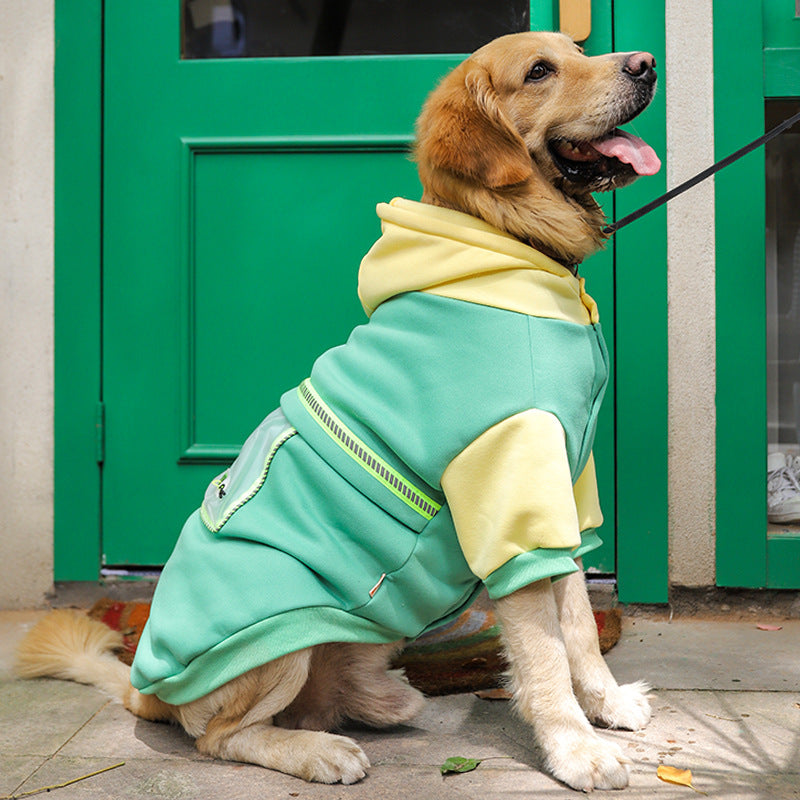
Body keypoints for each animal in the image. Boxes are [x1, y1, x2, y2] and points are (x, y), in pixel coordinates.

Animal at [15, 32, 660, 792]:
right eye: (539, 71)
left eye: (575, 50)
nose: (646, 65)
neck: (507, 243)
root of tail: (147, 690)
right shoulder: (508, 486)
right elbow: (545, 651)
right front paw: (575, 749)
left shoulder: (564, 487)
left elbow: (581, 626)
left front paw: (608, 708)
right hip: (278, 630)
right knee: (223, 737)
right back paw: (321, 751)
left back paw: (387, 700)